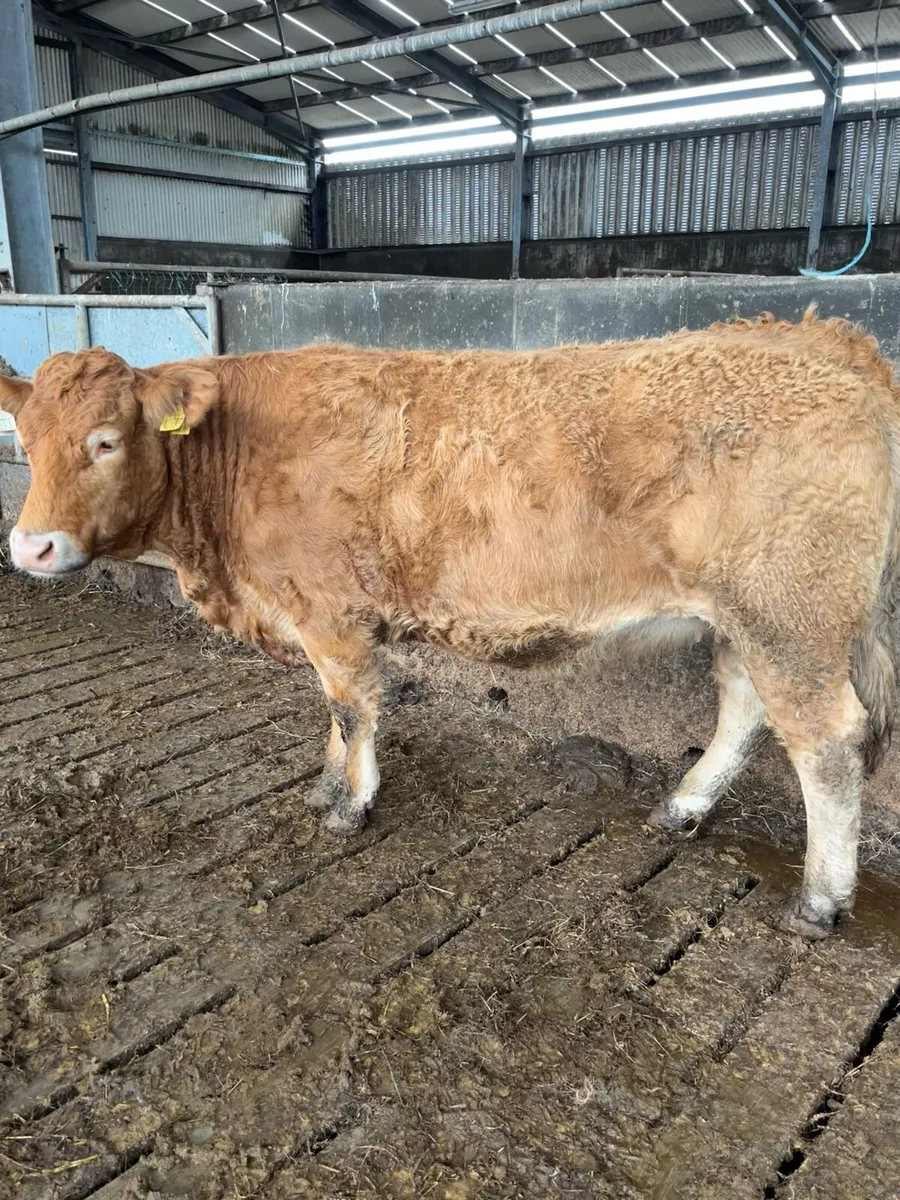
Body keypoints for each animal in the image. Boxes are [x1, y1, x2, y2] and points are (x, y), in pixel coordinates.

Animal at [1, 309, 898, 940]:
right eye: (25, 439)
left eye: (106, 440)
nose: (31, 546)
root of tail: (825, 336)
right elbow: (335, 711)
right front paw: (326, 784)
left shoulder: (331, 613)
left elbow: (352, 707)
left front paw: (349, 804)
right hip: (751, 617)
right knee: (746, 706)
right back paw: (682, 807)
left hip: (791, 610)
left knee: (827, 744)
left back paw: (820, 901)